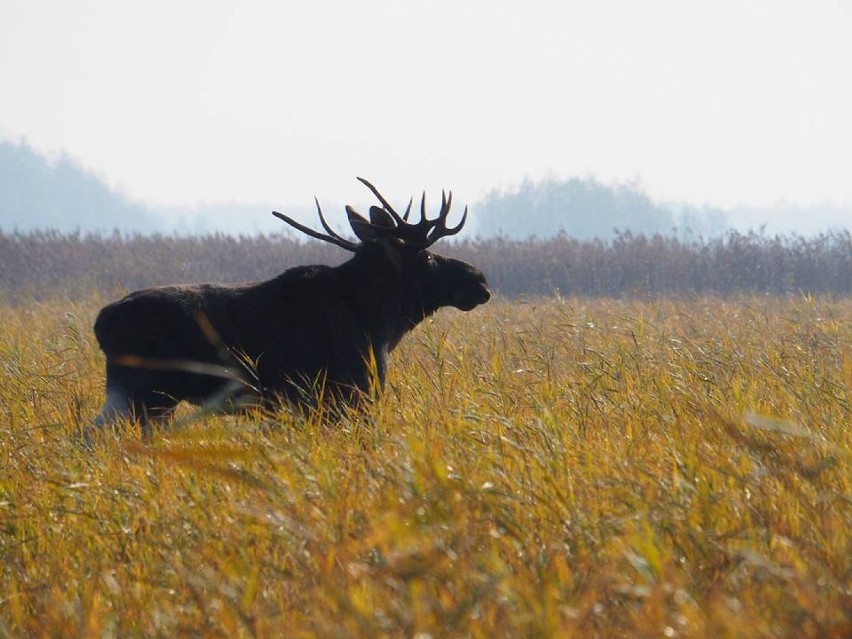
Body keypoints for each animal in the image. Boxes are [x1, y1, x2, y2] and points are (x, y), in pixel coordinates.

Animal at [91, 178, 492, 432]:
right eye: (426, 256)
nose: (480, 281)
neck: (382, 325)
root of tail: (101, 323)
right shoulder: (347, 392)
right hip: (141, 389)